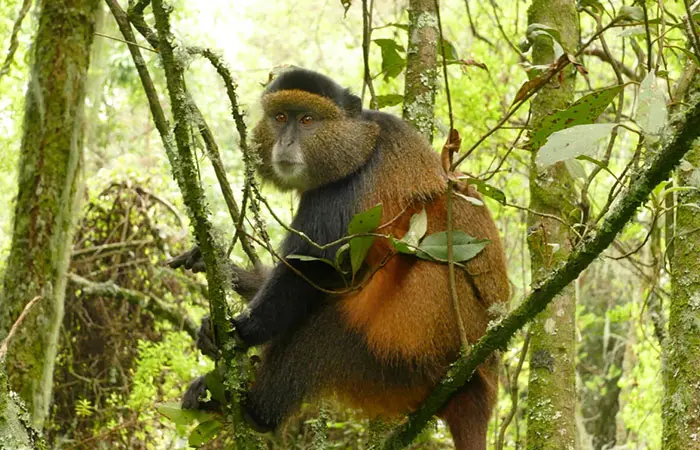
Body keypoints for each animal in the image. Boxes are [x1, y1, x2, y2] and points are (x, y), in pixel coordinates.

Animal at [170, 68, 509, 450]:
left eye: (307, 120)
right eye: (280, 117)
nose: (286, 143)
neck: (363, 140)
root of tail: (482, 385)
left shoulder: (344, 189)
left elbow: (312, 269)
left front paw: (238, 330)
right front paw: (229, 271)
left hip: (406, 360)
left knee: (319, 328)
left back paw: (253, 412)